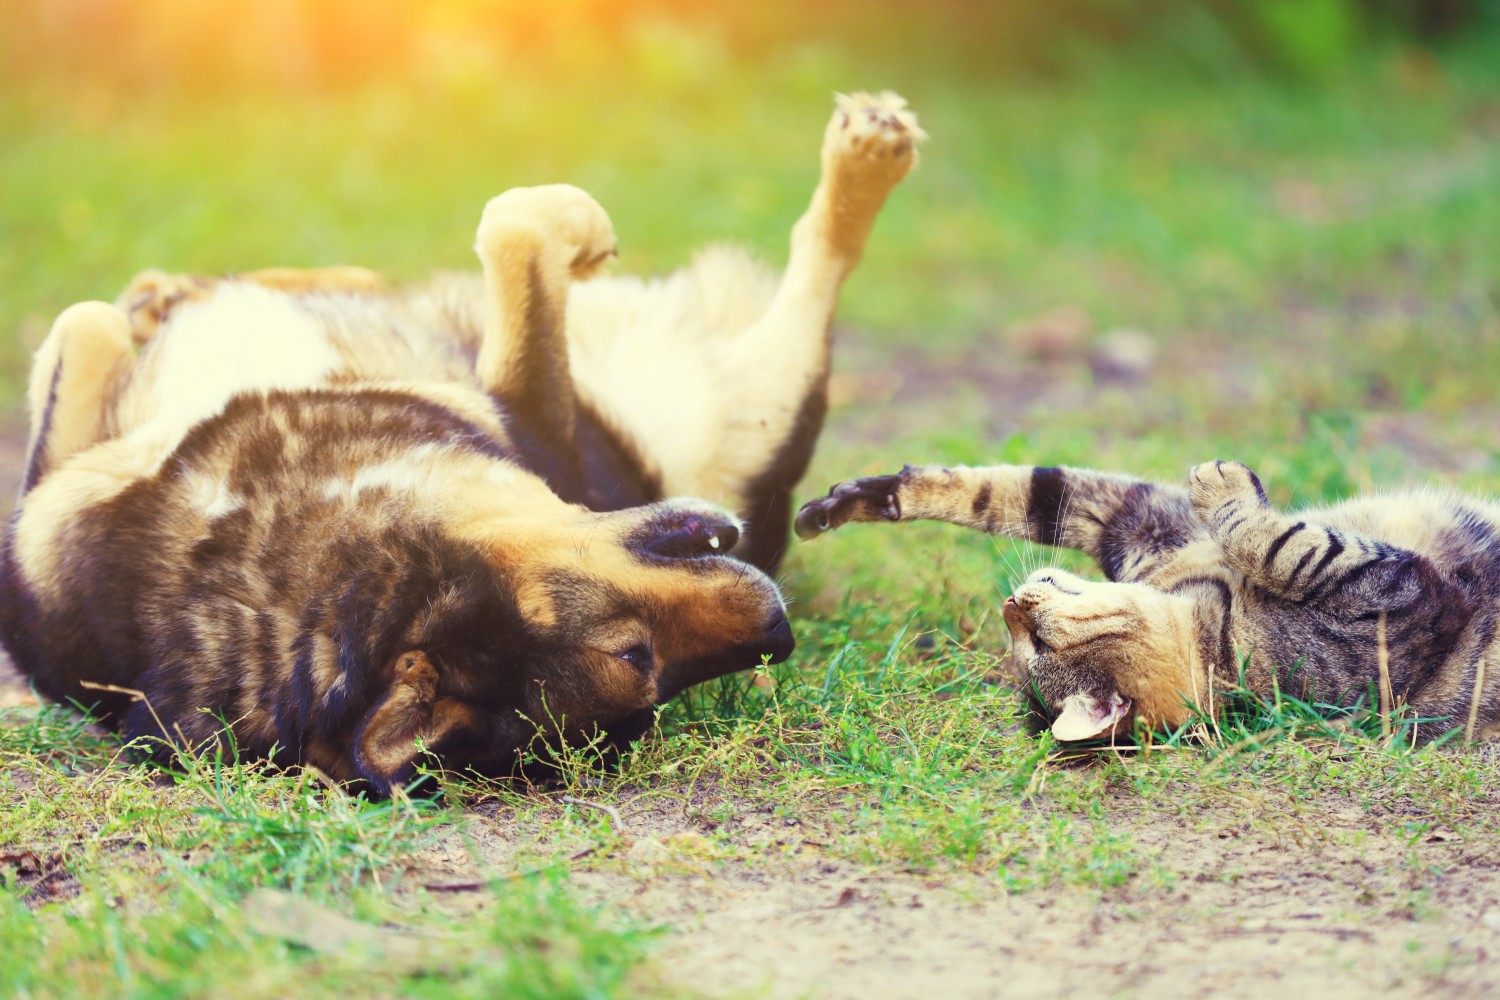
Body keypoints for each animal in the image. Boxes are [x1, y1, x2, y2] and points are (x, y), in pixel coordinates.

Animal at [2, 91, 924, 791]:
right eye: (641, 662)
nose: (779, 631)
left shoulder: (51, 507)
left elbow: (83, 320)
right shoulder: (535, 420)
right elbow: (516, 225)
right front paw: (581, 227)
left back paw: (181, 291)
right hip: (765, 405)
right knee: (821, 265)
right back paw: (869, 155)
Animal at [798, 461, 1500, 743]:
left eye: (1032, 641)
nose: (1010, 604)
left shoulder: (1140, 524)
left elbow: (1013, 490)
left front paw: (858, 499)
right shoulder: (1406, 605)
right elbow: (1288, 545)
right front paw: (1226, 485)